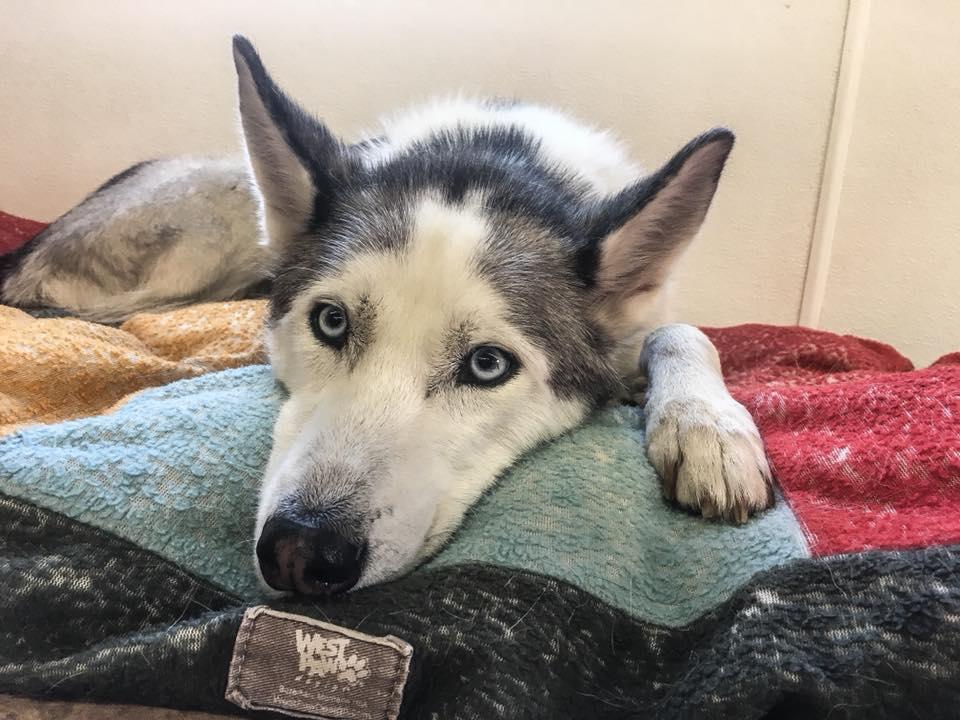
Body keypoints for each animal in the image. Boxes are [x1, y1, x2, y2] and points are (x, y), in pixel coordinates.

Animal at [1, 35, 772, 596]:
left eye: (487, 366)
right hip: (223, 202)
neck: (496, 156)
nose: (300, 552)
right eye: (331, 322)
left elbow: (682, 332)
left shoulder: (645, 319)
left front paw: (710, 430)